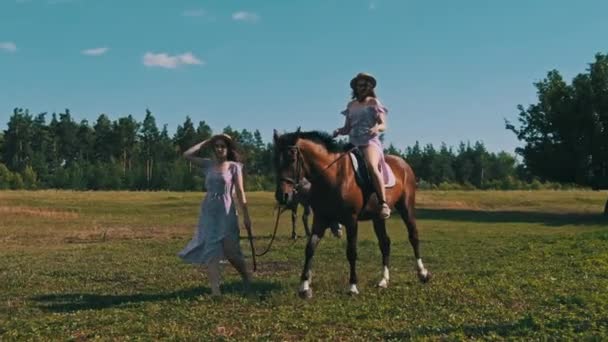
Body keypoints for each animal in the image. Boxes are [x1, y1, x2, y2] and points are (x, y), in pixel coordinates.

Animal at [274, 130, 430, 298]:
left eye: (292, 159)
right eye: (275, 160)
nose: (282, 196)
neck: (333, 175)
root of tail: (403, 164)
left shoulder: (351, 221)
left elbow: (351, 252)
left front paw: (353, 286)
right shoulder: (320, 219)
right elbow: (310, 248)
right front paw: (304, 286)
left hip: (406, 208)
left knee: (413, 236)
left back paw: (423, 273)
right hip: (378, 218)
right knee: (385, 243)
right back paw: (383, 280)